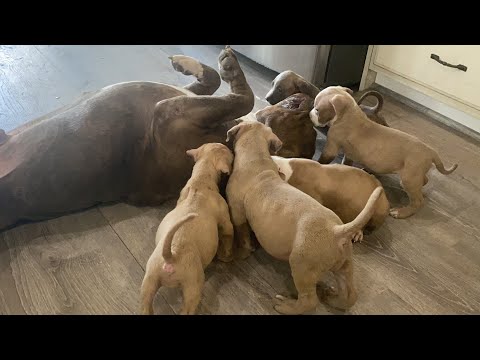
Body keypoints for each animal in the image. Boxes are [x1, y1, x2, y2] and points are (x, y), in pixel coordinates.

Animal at [139, 143, 234, 316]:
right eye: (227, 150)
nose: (231, 148)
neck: (200, 180)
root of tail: (171, 256)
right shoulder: (225, 221)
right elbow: (228, 234)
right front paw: (227, 257)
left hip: (149, 280)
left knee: (145, 306)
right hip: (193, 285)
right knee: (188, 307)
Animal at [226, 120, 386, 312]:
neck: (257, 159)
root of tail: (336, 230)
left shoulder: (237, 214)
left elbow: (242, 236)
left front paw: (241, 254)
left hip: (301, 266)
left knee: (308, 301)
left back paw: (286, 305)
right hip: (344, 265)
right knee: (349, 295)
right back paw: (331, 297)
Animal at [310, 86, 460, 219]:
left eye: (317, 110)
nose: (310, 114)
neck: (349, 114)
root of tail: (431, 151)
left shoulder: (331, 146)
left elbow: (323, 160)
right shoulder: (349, 153)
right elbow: (346, 163)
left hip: (409, 177)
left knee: (418, 201)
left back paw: (401, 212)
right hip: (414, 174)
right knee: (424, 180)